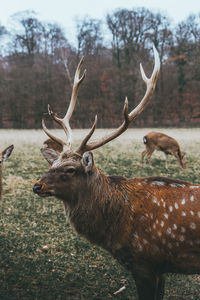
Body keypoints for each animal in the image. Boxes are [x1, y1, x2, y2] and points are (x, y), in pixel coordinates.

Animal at [32, 47, 200, 300]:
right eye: (52, 165)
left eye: (70, 169)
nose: (37, 185)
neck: (116, 226)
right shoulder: (161, 269)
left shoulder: (145, 262)